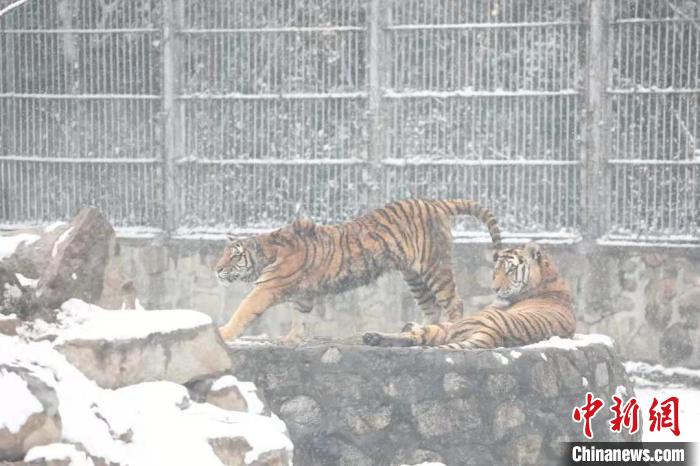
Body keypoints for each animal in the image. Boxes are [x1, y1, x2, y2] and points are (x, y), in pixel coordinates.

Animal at [216, 198, 500, 342]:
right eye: (223, 254)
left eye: (234, 256)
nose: (217, 270)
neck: (267, 252)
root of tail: (434, 203)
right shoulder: (303, 296)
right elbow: (300, 317)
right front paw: (292, 339)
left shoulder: (266, 288)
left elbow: (242, 311)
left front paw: (224, 333)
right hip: (414, 276)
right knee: (430, 306)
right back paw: (419, 331)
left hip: (434, 266)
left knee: (454, 301)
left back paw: (449, 330)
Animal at [358, 244, 576, 350]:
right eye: (495, 271)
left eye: (510, 270)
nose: (495, 289)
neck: (549, 279)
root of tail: (494, 334)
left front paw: (410, 324)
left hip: (457, 326)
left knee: (418, 336)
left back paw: (373, 336)